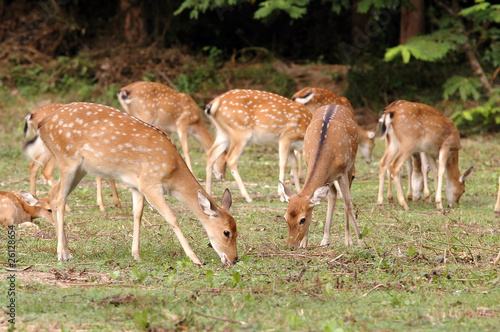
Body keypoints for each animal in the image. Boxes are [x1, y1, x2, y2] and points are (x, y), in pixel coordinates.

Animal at [21, 102, 236, 266]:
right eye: (226, 232)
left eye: (237, 229)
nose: (234, 259)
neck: (173, 172)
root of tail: (41, 124)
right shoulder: (150, 183)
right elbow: (172, 218)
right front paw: (196, 258)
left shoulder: (137, 186)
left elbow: (137, 214)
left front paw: (136, 255)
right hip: (67, 159)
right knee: (59, 198)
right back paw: (63, 253)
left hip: (79, 168)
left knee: (53, 194)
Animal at [278, 105, 364, 248]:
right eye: (285, 217)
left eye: (302, 219)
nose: (291, 246)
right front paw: (304, 243)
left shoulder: (342, 171)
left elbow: (348, 205)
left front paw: (360, 241)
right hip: (329, 179)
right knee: (332, 196)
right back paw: (325, 240)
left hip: (350, 166)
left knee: (344, 199)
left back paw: (347, 239)